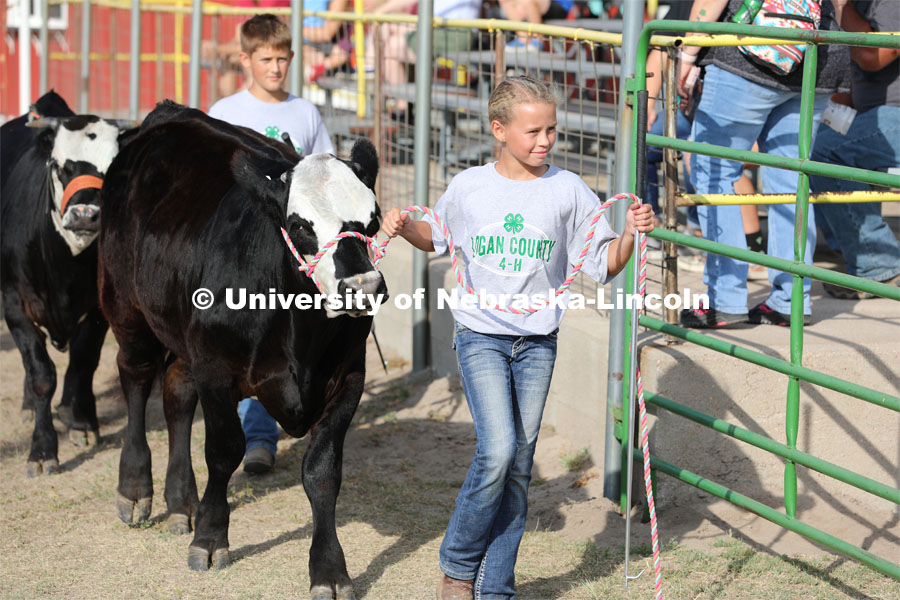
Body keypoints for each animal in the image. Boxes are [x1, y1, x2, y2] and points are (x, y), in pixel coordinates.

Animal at [0, 94, 137, 476]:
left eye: (110, 169)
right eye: (60, 167)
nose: (86, 215)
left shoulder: (99, 308)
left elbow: (84, 362)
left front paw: (82, 423)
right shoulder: (15, 305)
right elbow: (40, 373)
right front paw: (43, 449)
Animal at [99, 104, 386, 600]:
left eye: (374, 220)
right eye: (299, 226)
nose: (364, 287)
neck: (300, 338)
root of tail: (168, 115)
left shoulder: (349, 378)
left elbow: (323, 471)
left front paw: (329, 570)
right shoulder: (217, 371)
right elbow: (223, 451)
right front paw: (211, 538)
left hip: (183, 339)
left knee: (176, 397)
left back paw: (181, 502)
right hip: (125, 306)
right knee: (135, 378)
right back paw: (135, 490)